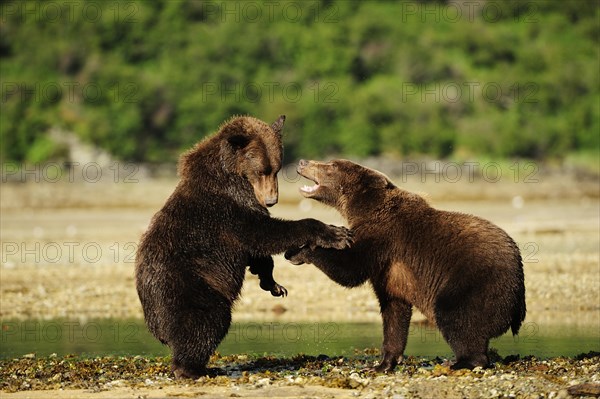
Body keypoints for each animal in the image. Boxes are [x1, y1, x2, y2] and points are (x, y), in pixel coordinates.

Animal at [135, 117, 352, 380]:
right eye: (261, 170)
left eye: (276, 169)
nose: (271, 200)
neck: (232, 176)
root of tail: (153, 322)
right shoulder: (229, 210)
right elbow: (263, 234)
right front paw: (337, 233)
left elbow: (259, 252)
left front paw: (273, 284)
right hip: (188, 287)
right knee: (206, 321)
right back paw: (195, 369)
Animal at [286, 159, 524, 372]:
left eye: (331, 165)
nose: (303, 161)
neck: (363, 207)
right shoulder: (388, 270)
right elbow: (393, 310)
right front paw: (382, 364)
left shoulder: (382, 237)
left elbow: (349, 269)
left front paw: (300, 250)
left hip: (474, 281)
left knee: (454, 315)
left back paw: (462, 361)